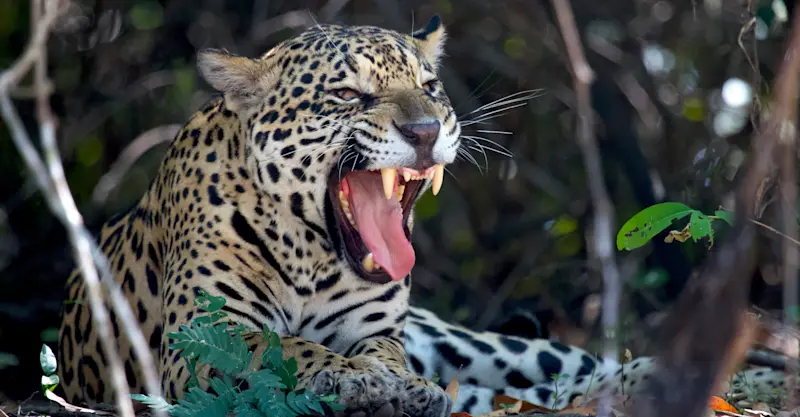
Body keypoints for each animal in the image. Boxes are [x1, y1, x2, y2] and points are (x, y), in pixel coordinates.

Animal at [55, 16, 787, 417]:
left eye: (430, 86)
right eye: (348, 95)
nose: (427, 130)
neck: (313, 256)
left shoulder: (382, 328)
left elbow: (377, 351)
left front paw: (394, 382)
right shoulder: (205, 334)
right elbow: (289, 346)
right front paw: (371, 384)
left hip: (474, 342)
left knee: (570, 369)